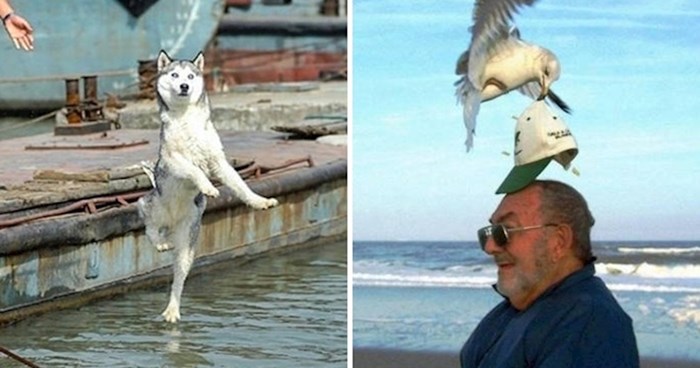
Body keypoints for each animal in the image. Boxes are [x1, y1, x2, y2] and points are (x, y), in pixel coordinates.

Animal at [137, 51, 278, 322]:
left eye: (191, 76)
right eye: (174, 75)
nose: (184, 86)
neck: (186, 119)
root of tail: (171, 223)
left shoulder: (219, 162)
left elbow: (241, 186)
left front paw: (260, 201)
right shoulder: (173, 160)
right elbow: (194, 170)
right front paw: (208, 187)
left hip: (187, 244)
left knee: (178, 279)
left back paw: (173, 309)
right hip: (152, 206)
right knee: (149, 229)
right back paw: (159, 242)